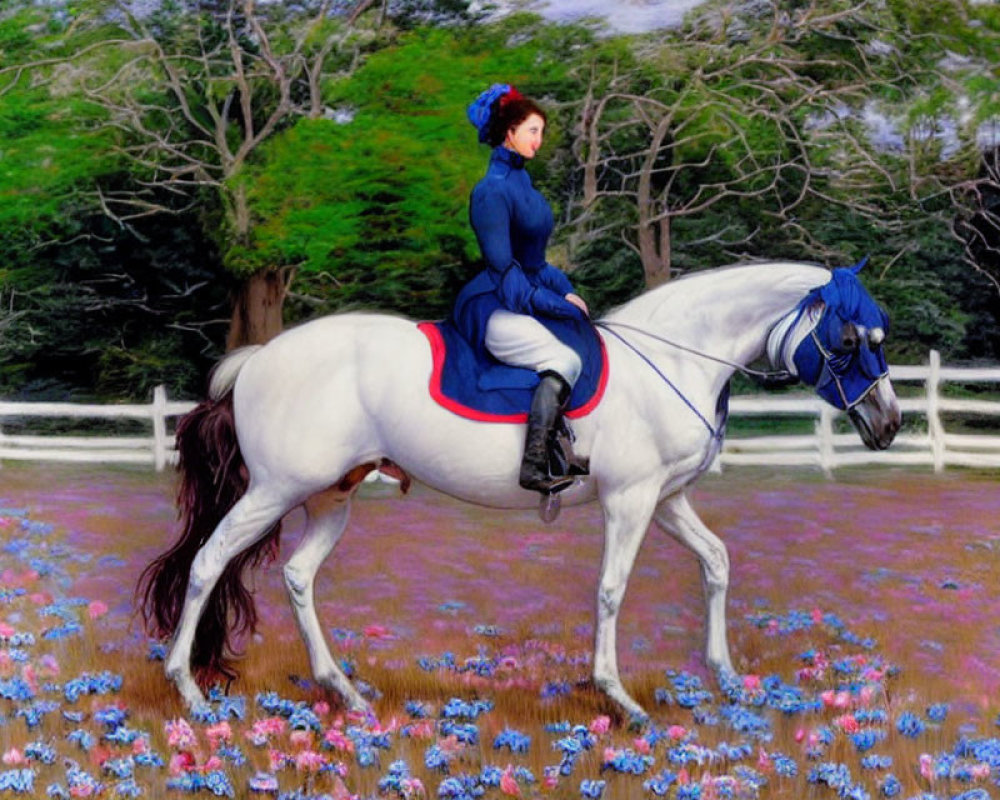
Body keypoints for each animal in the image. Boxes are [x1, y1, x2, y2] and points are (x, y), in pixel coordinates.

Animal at [139, 260, 900, 720]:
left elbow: (716, 562)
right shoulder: (631, 501)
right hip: (273, 490)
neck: (673, 356)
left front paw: (726, 675)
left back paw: (344, 692)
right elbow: (611, 590)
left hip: (331, 496)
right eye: (850, 339)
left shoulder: (664, 499)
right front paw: (619, 698)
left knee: (296, 575)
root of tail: (257, 360)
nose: (889, 424)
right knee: (208, 563)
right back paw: (190, 693)